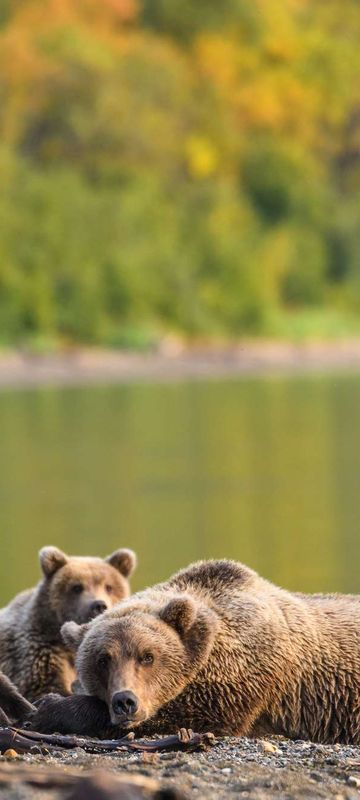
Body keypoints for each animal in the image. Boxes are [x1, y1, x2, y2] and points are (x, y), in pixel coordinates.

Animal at [30, 556, 360, 744]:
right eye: (103, 660)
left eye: (147, 656)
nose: (125, 701)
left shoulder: (245, 672)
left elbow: (193, 716)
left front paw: (49, 706)